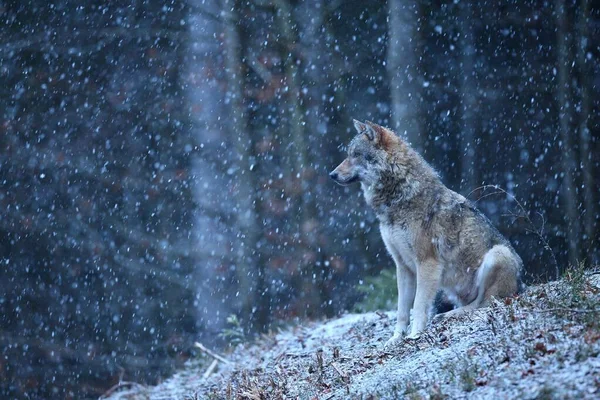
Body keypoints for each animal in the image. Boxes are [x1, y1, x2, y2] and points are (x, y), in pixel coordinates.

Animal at [330, 119, 524, 346]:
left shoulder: (427, 263)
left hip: (498, 254)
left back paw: (448, 315)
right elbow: (402, 310)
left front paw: (415, 335)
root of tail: (520, 285)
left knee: (484, 303)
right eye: (348, 154)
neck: (397, 198)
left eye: (356, 154)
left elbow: (419, 305)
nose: (331, 174)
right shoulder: (403, 266)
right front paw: (396, 338)